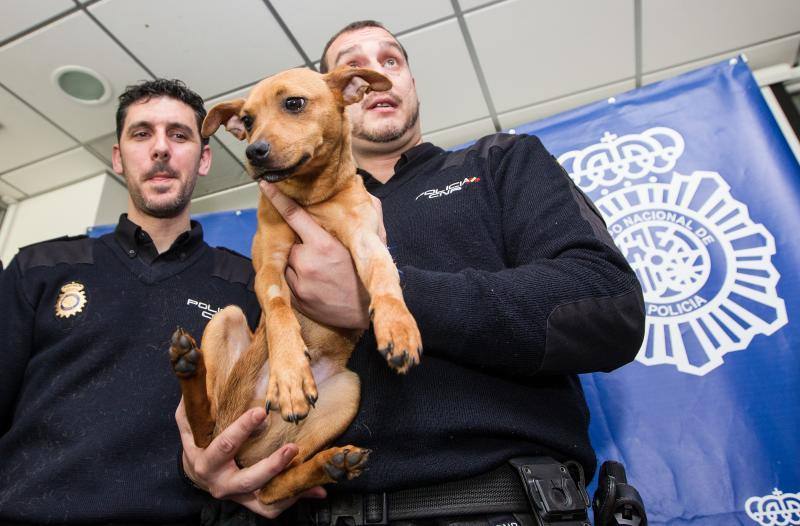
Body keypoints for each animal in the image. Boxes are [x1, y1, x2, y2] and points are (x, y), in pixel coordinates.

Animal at [166, 67, 422, 508]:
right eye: (247, 120)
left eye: (294, 103)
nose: (254, 152)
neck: (311, 199)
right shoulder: (268, 264)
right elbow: (279, 307)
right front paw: (289, 374)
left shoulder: (366, 238)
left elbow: (384, 278)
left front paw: (397, 326)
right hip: (226, 326)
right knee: (204, 432)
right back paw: (189, 364)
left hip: (348, 392)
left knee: (272, 486)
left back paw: (332, 465)